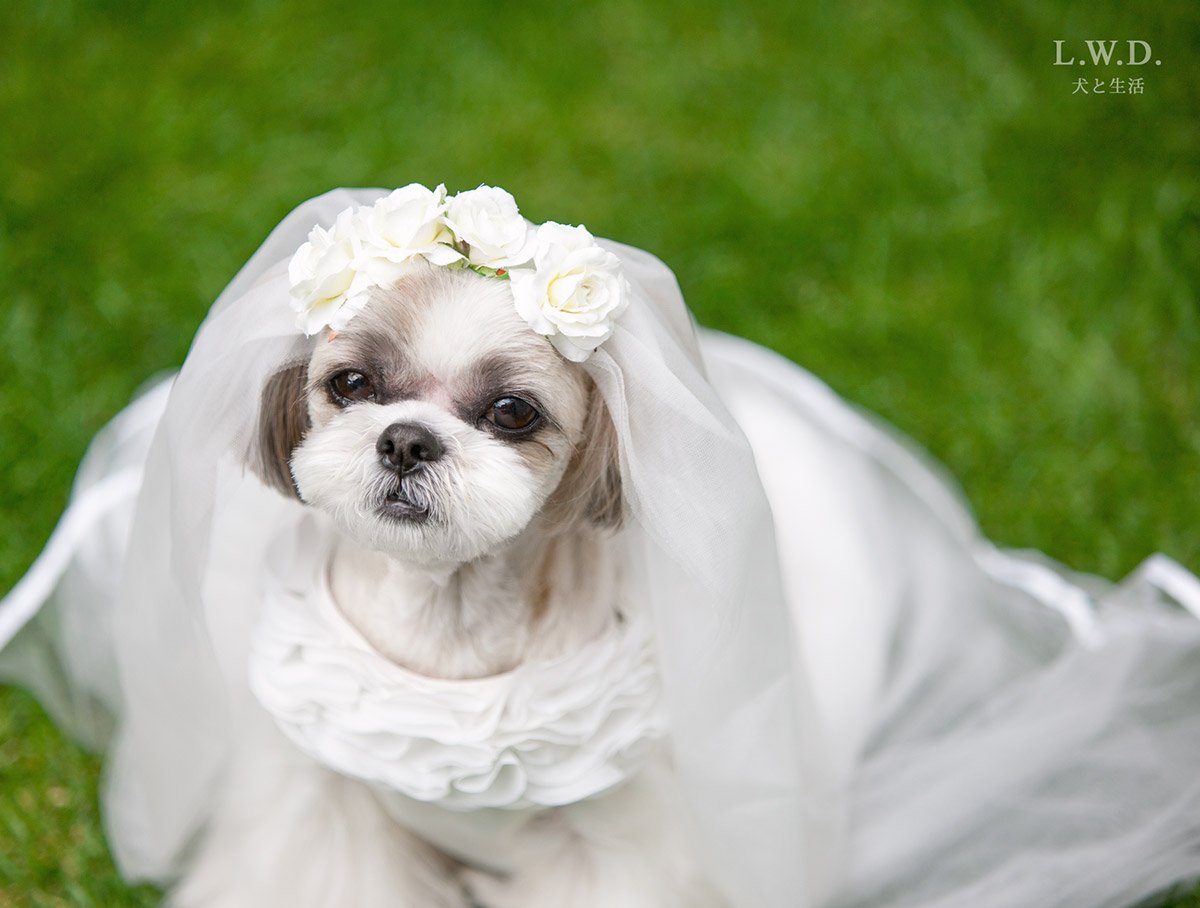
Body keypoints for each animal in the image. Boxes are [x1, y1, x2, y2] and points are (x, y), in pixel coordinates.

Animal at [168, 256, 724, 906]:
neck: (444, 609)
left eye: (512, 410)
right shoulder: (332, 807)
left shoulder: (605, 831)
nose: (407, 440)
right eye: (351, 383)